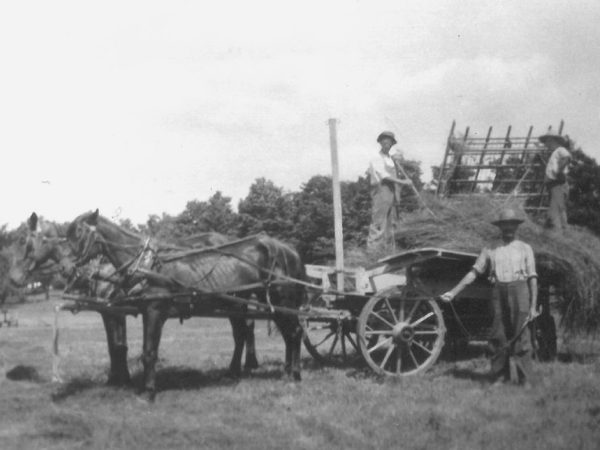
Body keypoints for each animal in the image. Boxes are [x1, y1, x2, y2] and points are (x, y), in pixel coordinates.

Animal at [68, 209, 308, 400]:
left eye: (79, 234)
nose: (66, 269)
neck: (146, 265)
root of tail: (291, 251)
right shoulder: (142, 311)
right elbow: (133, 348)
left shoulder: (154, 311)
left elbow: (148, 351)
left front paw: (149, 391)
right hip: (250, 304)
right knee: (267, 334)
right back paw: (271, 372)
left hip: (281, 300)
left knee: (294, 333)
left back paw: (295, 375)